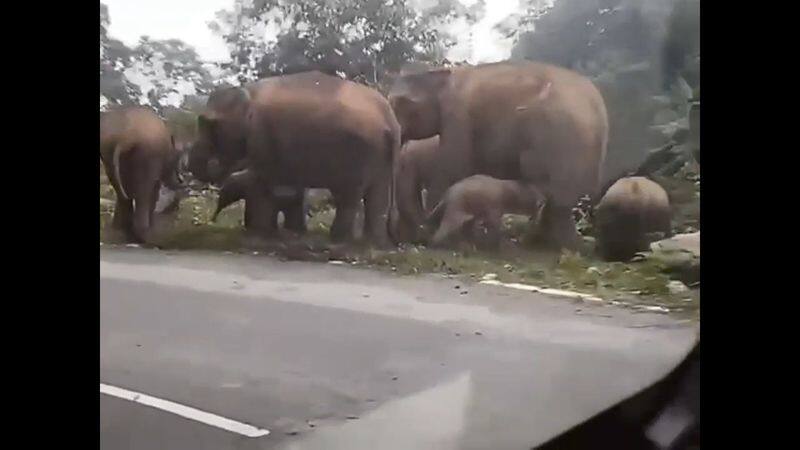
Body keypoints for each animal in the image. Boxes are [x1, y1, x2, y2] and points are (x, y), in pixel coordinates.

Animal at [100, 105, 184, 243]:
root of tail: (127, 136)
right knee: (143, 193)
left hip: (108, 152)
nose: (182, 181)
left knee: (122, 192)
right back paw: (144, 234)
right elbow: (154, 190)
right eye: (176, 159)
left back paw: (120, 231)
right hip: (147, 153)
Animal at [188, 70, 400, 246]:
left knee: (349, 196)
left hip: (357, 152)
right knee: (377, 196)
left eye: (208, 123)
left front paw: (260, 236)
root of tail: (389, 120)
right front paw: (289, 233)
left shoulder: (262, 137)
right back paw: (372, 244)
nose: (210, 222)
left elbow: (263, 182)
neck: (248, 90)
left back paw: (339, 241)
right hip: (381, 156)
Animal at [424, 175, 552, 250]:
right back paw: (436, 245)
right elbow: (494, 222)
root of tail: (447, 193)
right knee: (450, 224)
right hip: (458, 204)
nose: (544, 200)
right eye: (540, 206)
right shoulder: (494, 204)